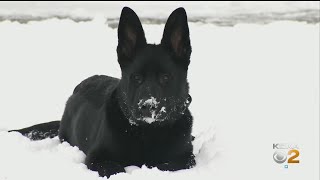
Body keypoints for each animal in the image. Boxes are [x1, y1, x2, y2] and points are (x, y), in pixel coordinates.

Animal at [9, 6, 195, 177]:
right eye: (136, 77)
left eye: (165, 77)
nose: (148, 106)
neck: (148, 132)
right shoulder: (96, 157)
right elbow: (115, 169)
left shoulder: (187, 159)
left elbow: (167, 165)